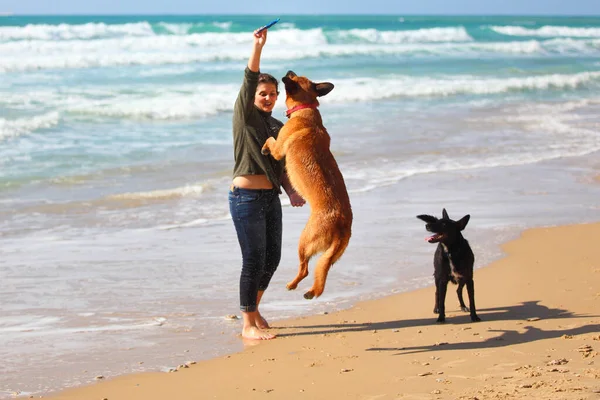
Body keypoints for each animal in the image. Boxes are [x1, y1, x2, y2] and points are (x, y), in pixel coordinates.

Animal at [262, 70, 352, 298]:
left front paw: (264, 147)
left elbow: (270, 140)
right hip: (331, 255)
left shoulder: (279, 149)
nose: (288, 72)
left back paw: (292, 285)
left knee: (305, 269)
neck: (305, 109)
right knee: (319, 269)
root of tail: (341, 223)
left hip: (304, 241)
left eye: (294, 77)